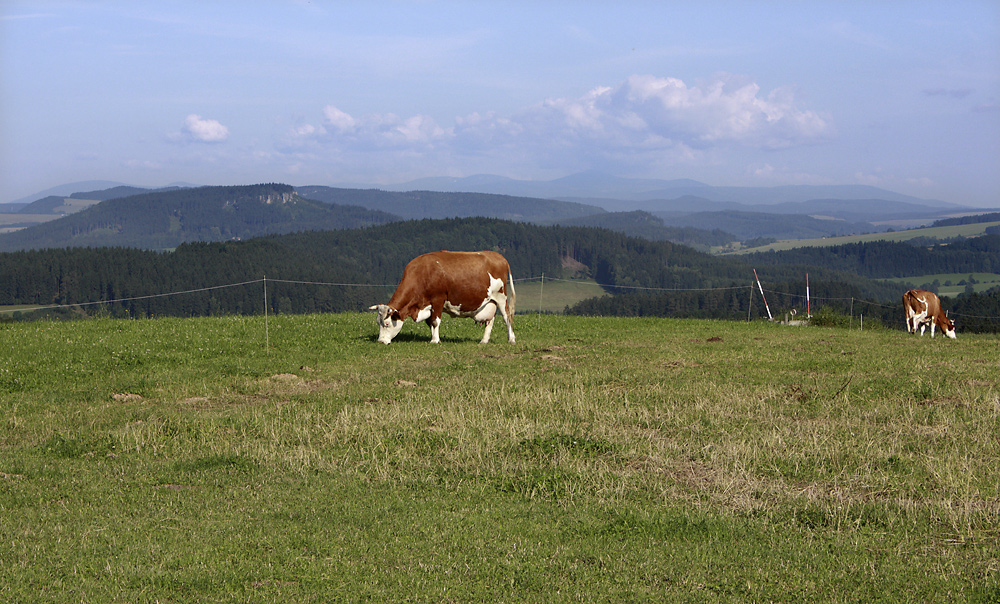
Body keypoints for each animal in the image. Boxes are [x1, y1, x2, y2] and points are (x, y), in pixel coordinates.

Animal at [372, 250, 520, 344]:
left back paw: (511, 339)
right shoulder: (428, 305)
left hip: (501, 297)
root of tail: (498, 256)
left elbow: (435, 321)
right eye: (378, 323)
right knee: (490, 320)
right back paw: (484, 341)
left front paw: (434, 341)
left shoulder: (438, 299)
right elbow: (430, 322)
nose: (380, 341)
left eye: (386, 323)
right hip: (490, 301)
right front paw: (435, 337)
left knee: (507, 316)